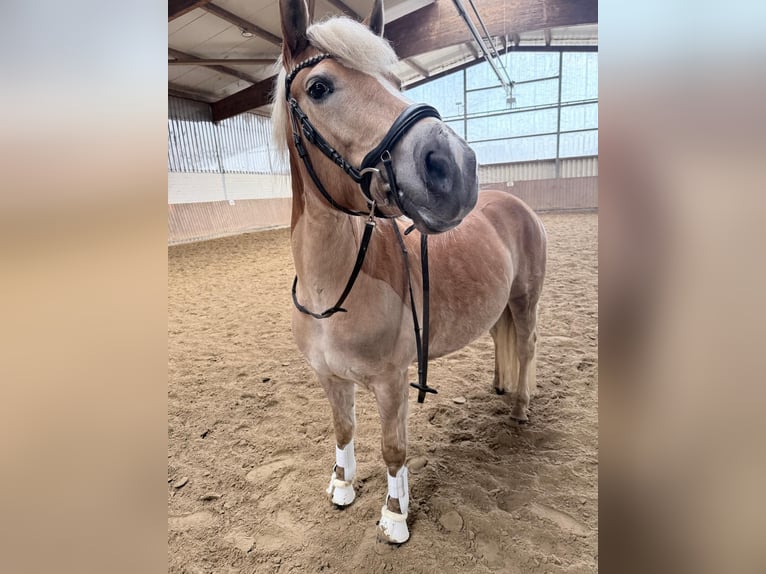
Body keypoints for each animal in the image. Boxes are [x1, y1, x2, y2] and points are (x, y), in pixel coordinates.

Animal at [273, 0, 547, 544]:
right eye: (319, 87)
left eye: (395, 81)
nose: (454, 165)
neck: (330, 294)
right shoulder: (330, 379)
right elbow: (344, 430)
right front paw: (342, 487)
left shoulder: (392, 381)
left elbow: (394, 448)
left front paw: (395, 516)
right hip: (500, 306)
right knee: (501, 339)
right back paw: (500, 387)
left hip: (525, 301)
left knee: (525, 345)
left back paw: (520, 407)